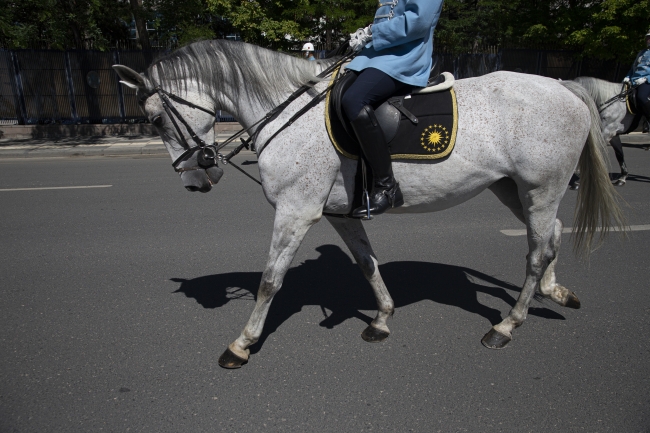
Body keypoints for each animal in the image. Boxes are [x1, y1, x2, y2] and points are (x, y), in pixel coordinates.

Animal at [112, 40, 624, 366]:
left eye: (154, 119)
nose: (195, 179)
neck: (288, 111)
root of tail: (561, 85)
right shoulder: (338, 214)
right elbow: (366, 264)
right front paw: (382, 318)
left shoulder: (296, 212)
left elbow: (270, 281)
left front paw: (242, 344)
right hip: (513, 188)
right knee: (551, 235)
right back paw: (554, 291)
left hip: (540, 188)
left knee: (536, 250)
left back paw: (507, 325)